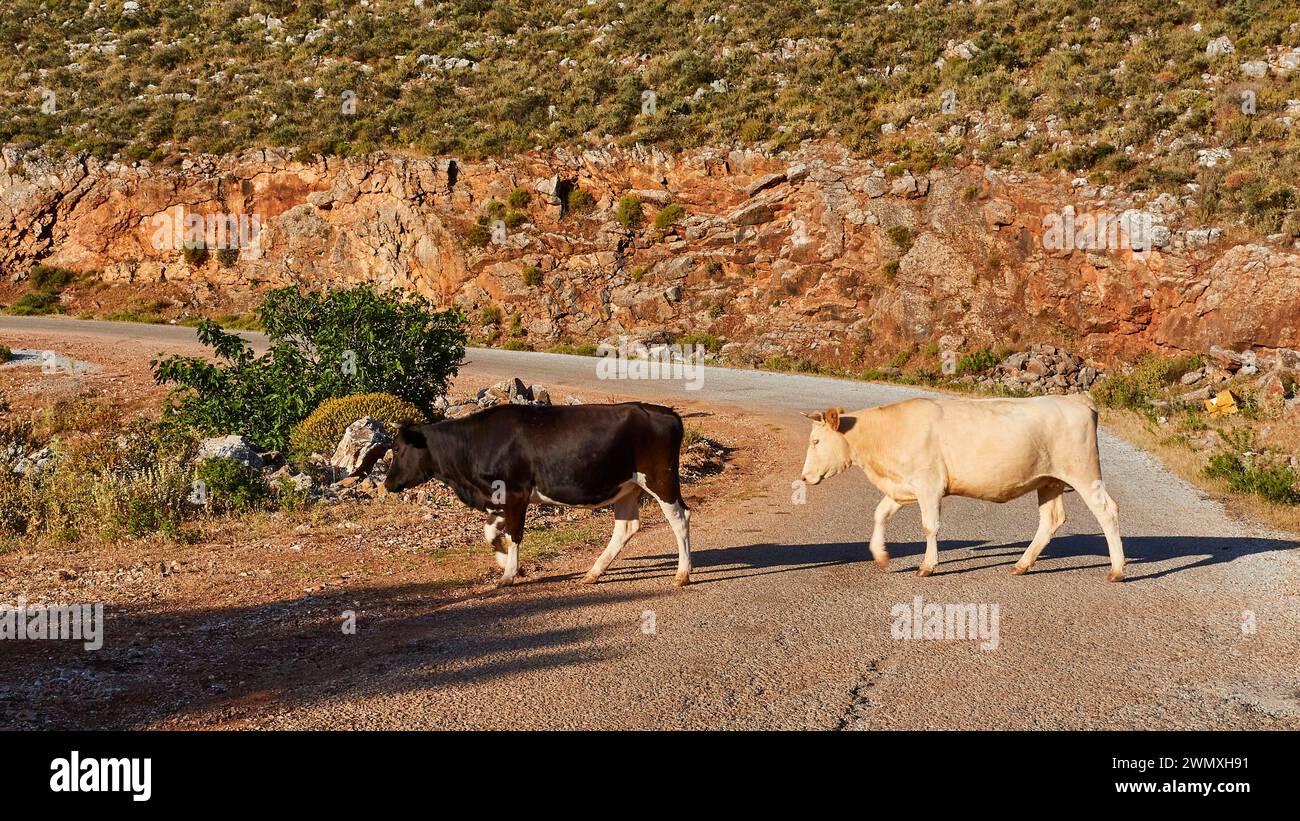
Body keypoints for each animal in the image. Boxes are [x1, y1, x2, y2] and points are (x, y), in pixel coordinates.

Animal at [382, 400, 696, 587]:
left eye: (397, 448)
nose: (387, 483)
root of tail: (665, 411)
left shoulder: (516, 492)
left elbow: (514, 534)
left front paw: (509, 574)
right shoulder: (498, 498)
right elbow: (491, 533)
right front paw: (504, 562)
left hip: (660, 479)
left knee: (680, 518)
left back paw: (682, 574)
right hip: (627, 488)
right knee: (627, 527)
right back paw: (593, 573)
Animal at [795, 394, 1123, 579]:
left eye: (816, 441)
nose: (804, 477)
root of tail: (1075, 399)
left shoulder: (928, 484)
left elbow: (929, 526)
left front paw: (928, 566)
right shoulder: (902, 487)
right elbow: (879, 515)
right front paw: (881, 555)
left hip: (1084, 473)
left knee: (1107, 512)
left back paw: (1117, 570)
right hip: (1049, 480)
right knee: (1051, 520)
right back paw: (1022, 564)